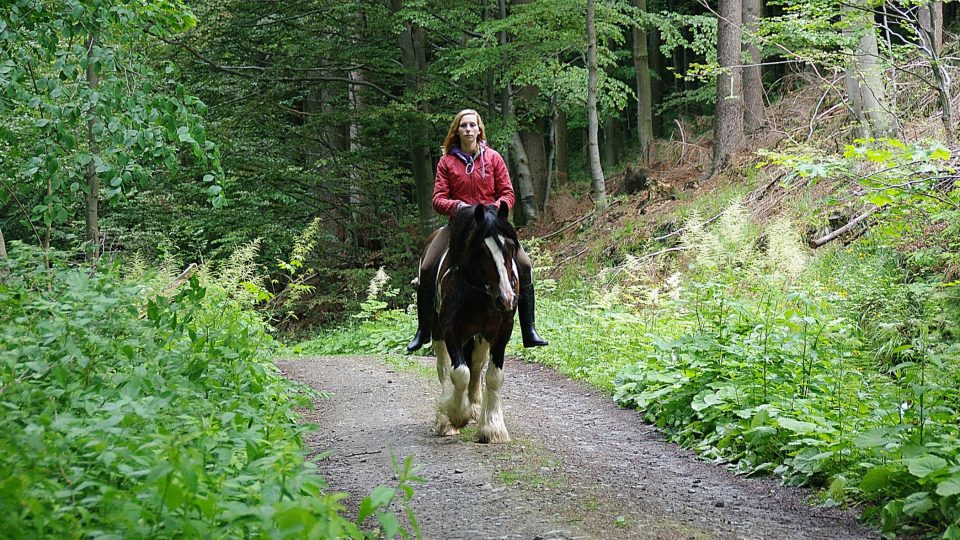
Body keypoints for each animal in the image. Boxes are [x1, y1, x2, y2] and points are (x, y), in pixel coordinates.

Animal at [432, 202, 516, 442]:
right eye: (481, 250)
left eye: (511, 246)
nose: (506, 298)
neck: (479, 293)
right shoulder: (451, 330)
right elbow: (460, 373)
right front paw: (457, 415)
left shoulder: (501, 332)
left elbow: (494, 376)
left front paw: (493, 428)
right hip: (438, 333)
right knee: (444, 368)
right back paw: (445, 420)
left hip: (480, 337)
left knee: (478, 365)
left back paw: (476, 406)